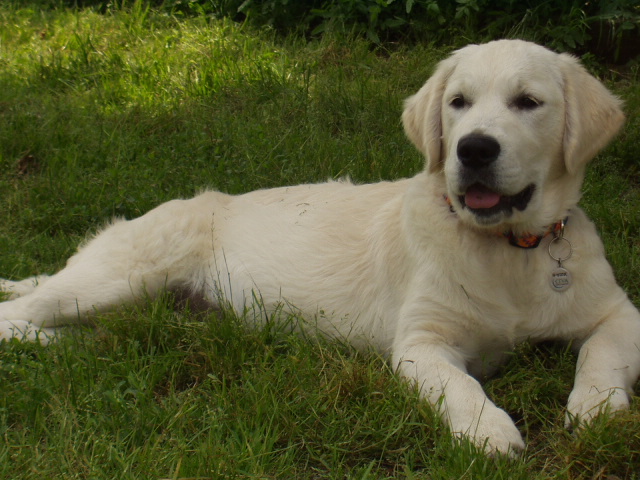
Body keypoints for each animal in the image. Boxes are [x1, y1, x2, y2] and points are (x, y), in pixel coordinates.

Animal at [1, 40, 640, 454]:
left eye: (528, 102)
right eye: (458, 102)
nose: (474, 149)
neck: (511, 250)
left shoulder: (620, 312)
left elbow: (599, 353)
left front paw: (597, 409)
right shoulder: (421, 343)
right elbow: (460, 384)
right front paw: (488, 430)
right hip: (120, 275)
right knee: (16, 316)